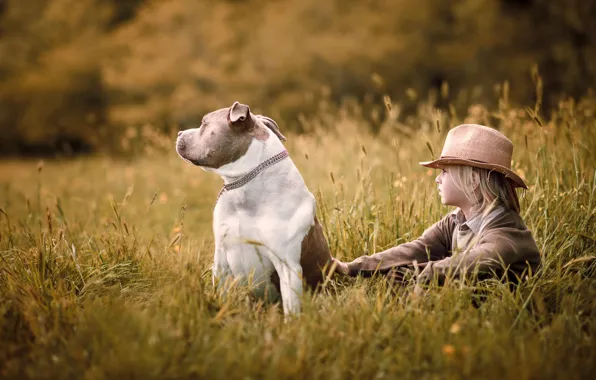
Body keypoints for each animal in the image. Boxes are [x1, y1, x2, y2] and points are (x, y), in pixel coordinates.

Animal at [175, 101, 332, 314]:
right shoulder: (221, 260)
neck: (244, 186)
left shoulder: (288, 267)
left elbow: (291, 308)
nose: (179, 133)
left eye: (204, 124)